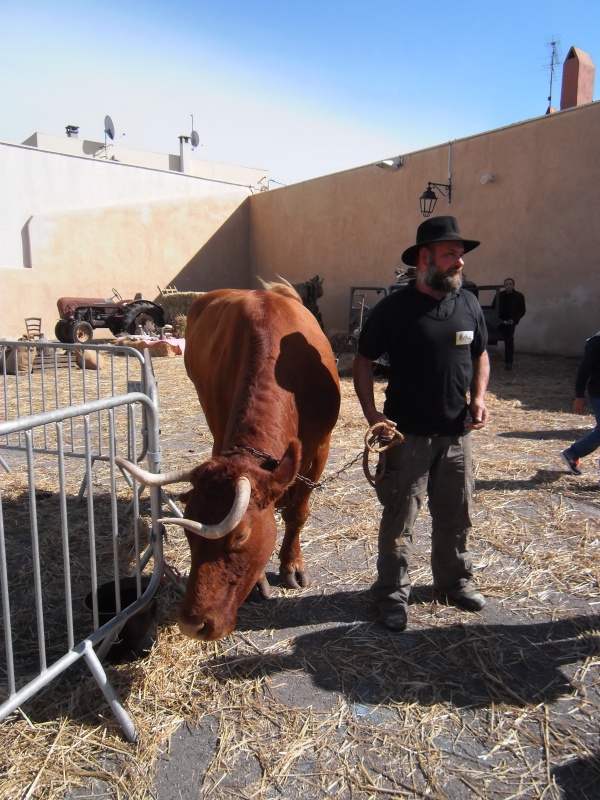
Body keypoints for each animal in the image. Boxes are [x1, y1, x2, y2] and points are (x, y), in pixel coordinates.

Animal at [118, 284, 340, 640]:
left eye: (240, 536)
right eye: (189, 533)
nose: (193, 623)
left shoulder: (321, 447)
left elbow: (297, 512)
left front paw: (292, 564)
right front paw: (260, 583)